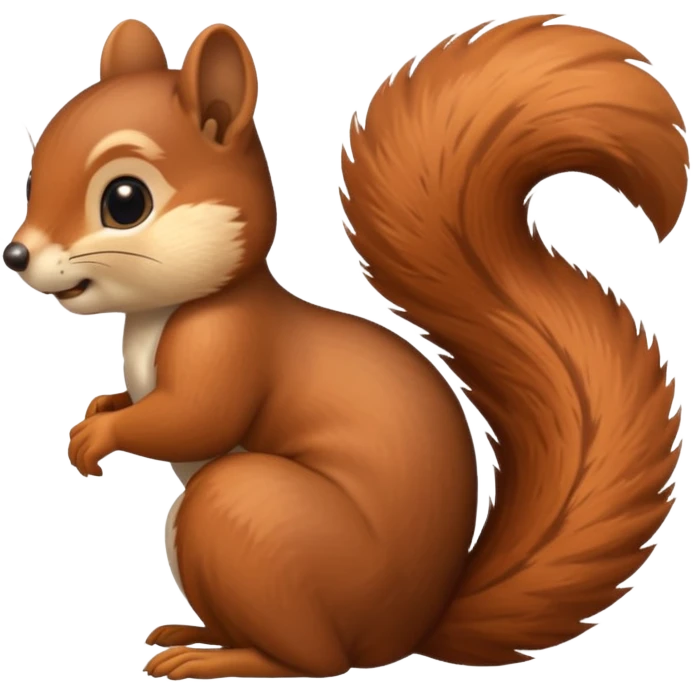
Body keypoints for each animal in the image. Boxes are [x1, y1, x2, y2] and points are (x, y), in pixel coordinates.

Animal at [4, 14, 687, 681]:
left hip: (245, 514)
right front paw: (96, 414)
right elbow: (142, 404)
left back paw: (219, 658)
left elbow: (196, 417)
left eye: (125, 200)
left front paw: (100, 437)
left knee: (317, 661)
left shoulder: (230, 342)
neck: (161, 314)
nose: (16, 255)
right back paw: (195, 633)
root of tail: (410, 630)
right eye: (32, 175)